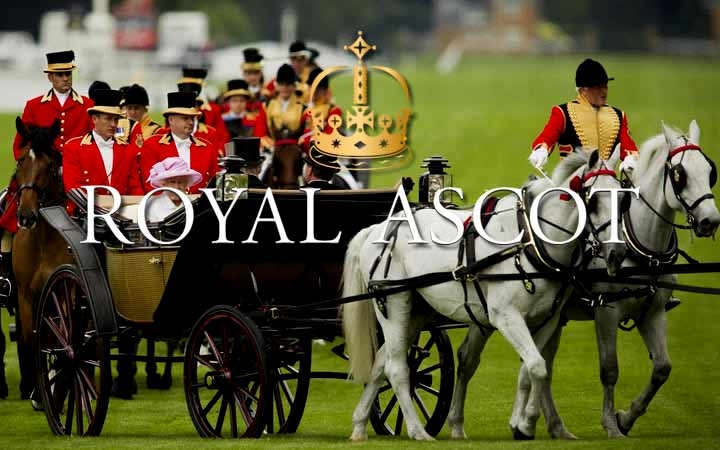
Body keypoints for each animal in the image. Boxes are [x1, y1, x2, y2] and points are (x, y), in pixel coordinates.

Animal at [342, 149, 627, 440]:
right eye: (594, 200)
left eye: (624, 198)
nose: (618, 253)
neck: (529, 242)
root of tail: (376, 229)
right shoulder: (506, 316)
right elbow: (536, 365)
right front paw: (526, 424)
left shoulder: (547, 320)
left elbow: (535, 370)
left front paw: (524, 424)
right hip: (393, 303)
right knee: (397, 368)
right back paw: (417, 430)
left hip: (417, 310)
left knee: (380, 363)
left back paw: (359, 425)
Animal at [510, 120, 720, 439]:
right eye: (679, 174)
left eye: (710, 171)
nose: (710, 221)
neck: (642, 246)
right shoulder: (607, 310)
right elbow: (609, 369)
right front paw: (611, 423)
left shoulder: (653, 311)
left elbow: (662, 368)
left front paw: (626, 418)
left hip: (554, 317)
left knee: (543, 363)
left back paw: (556, 427)